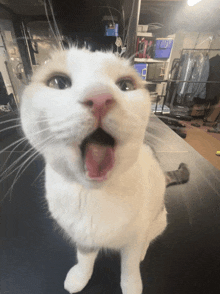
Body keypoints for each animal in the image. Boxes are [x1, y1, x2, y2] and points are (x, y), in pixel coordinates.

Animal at [20, 47, 167, 294]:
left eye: (125, 85)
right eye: (58, 82)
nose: (99, 97)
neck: (93, 194)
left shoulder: (134, 238)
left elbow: (129, 265)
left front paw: (131, 285)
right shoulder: (82, 236)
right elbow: (85, 258)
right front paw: (80, 277)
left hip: (160, 215)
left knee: (149, 236)